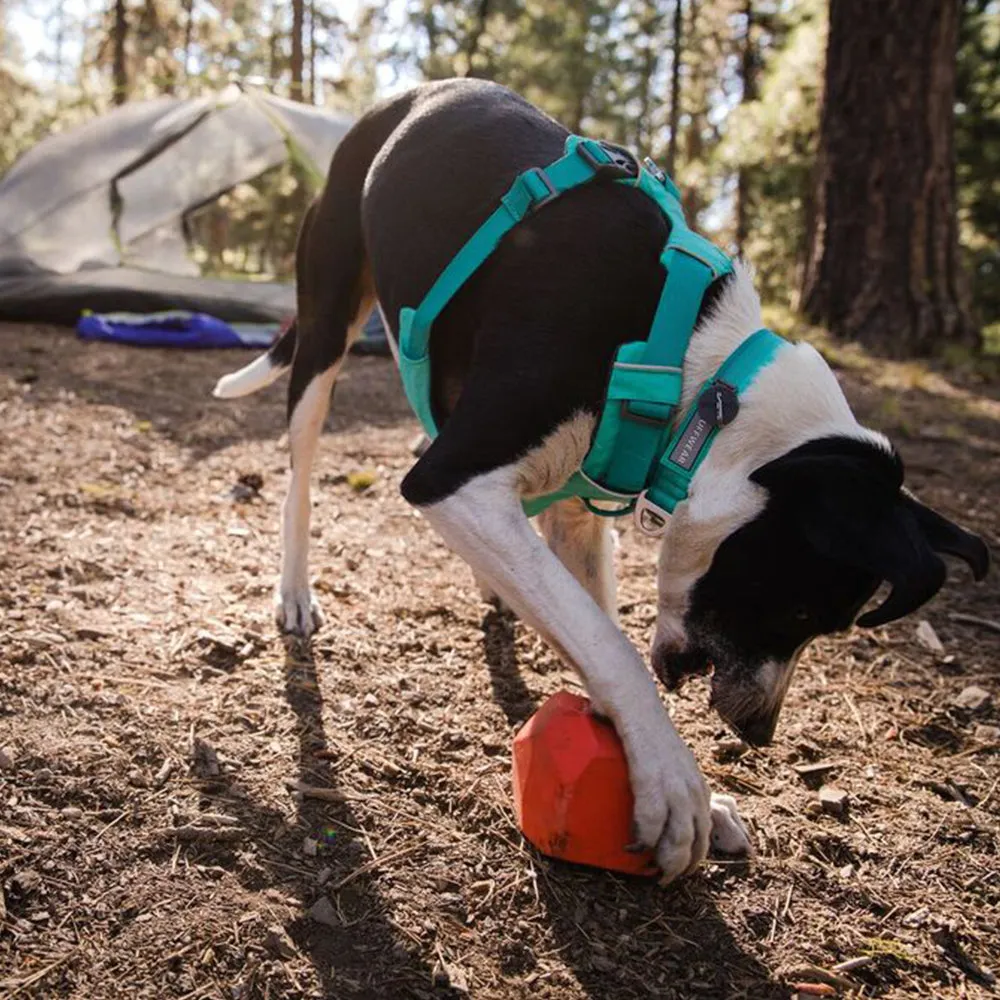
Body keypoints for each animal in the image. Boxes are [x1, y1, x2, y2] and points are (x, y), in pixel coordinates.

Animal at [215, 82, 988, 888]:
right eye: (802, 609)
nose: (759, 731)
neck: (699, 369)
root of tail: (396, 103)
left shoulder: (576, 512)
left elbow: (591, 626)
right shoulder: (454, 481)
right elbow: (609, 645)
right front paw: (678, 786)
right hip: (326, 330)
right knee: (301, 473)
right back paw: (295, 590)